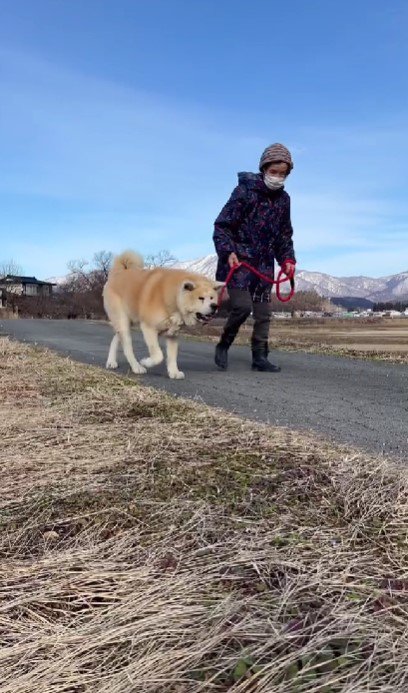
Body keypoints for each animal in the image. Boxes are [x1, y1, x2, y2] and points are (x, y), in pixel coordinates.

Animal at [102, 250, 223, 378]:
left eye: (212, 298)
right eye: (201, 298)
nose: (214, 306)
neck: (173, 299)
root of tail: (118, 273)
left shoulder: (172, 335)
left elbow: (172, 356)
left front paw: (174, 372)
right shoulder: (148, 328)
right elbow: (158, 355)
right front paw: (146, 362)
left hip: (127, 322)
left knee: (116, 338)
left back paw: (111, 362)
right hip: (123, 322)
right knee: (127, 347)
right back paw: (137, 367)